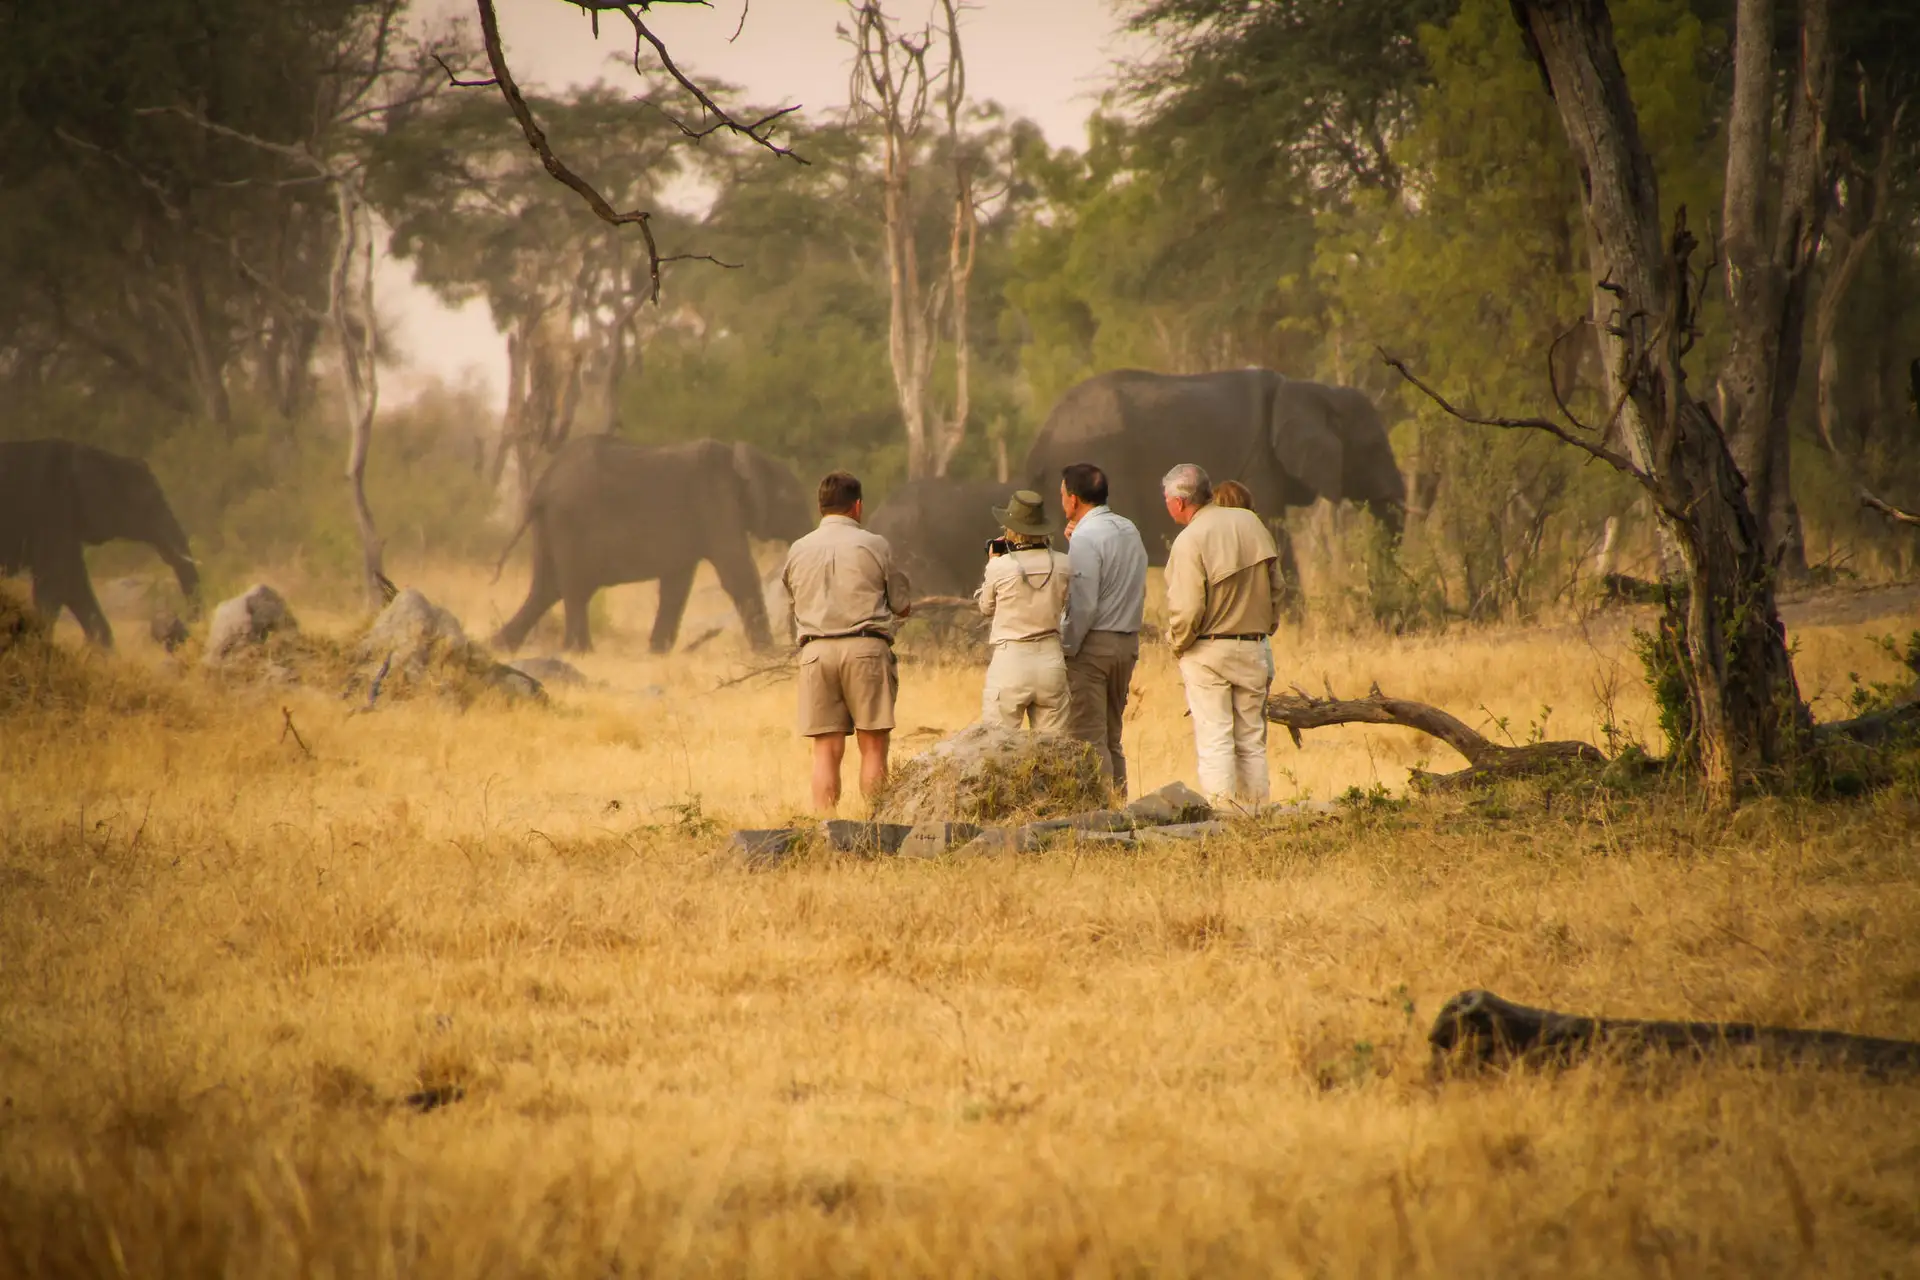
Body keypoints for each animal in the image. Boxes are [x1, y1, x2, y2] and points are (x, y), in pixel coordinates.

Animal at [491, 435, 814, 656]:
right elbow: (738, 574)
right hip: (569, 520)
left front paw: (657, 652)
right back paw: (580, 652)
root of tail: (542, 485)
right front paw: (767, 655)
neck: (739, 459)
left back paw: (497, 646)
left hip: (550, 524)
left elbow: (676, 585)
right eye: (793, 502)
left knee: (546, 589)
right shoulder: (715, 503)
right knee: (573, 589)